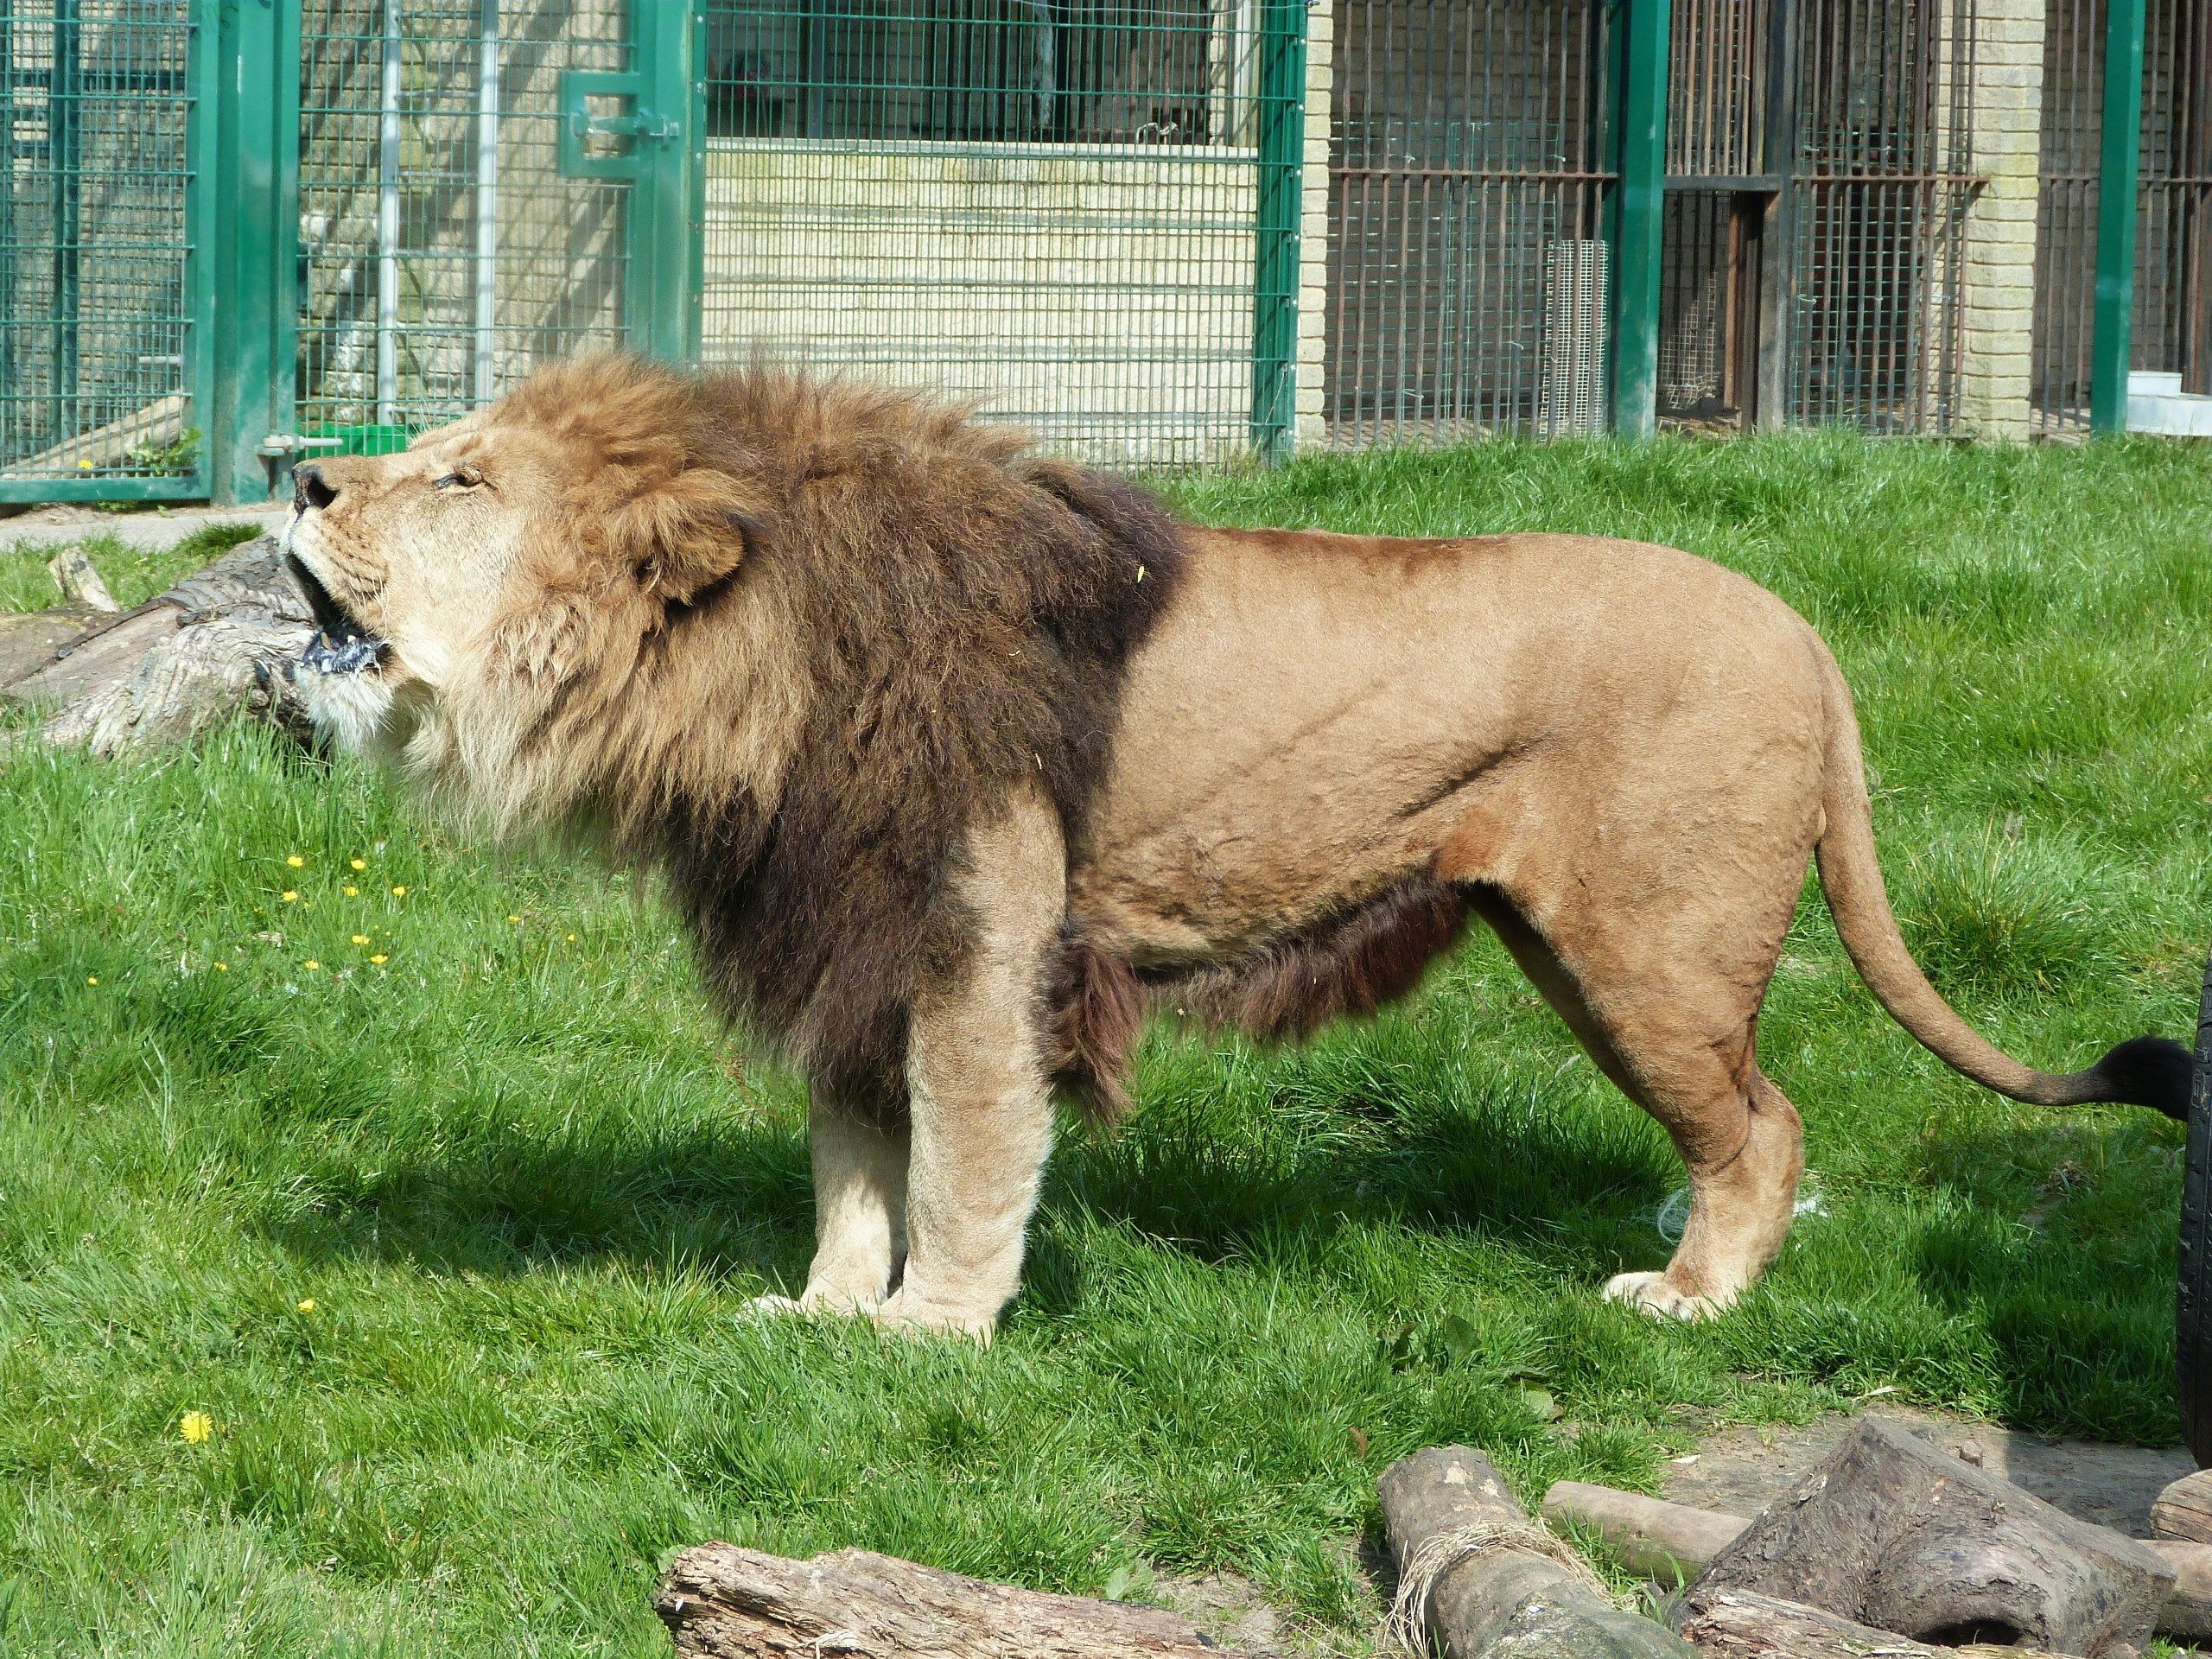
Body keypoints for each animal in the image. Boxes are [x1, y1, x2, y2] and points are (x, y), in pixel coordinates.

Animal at [282, 354, 2189, 1337]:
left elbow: (966, 1159)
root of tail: (1804, 628)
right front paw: (823, 1314)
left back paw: (1690, 1297)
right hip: (1574, 951)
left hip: (1651, 946)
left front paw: (931, 1336)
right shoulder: (846, 935)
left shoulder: (976, 941)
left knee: (1767, 1121)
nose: (295, 475)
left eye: (459, 482)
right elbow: (849, 1163)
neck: (746, 676)